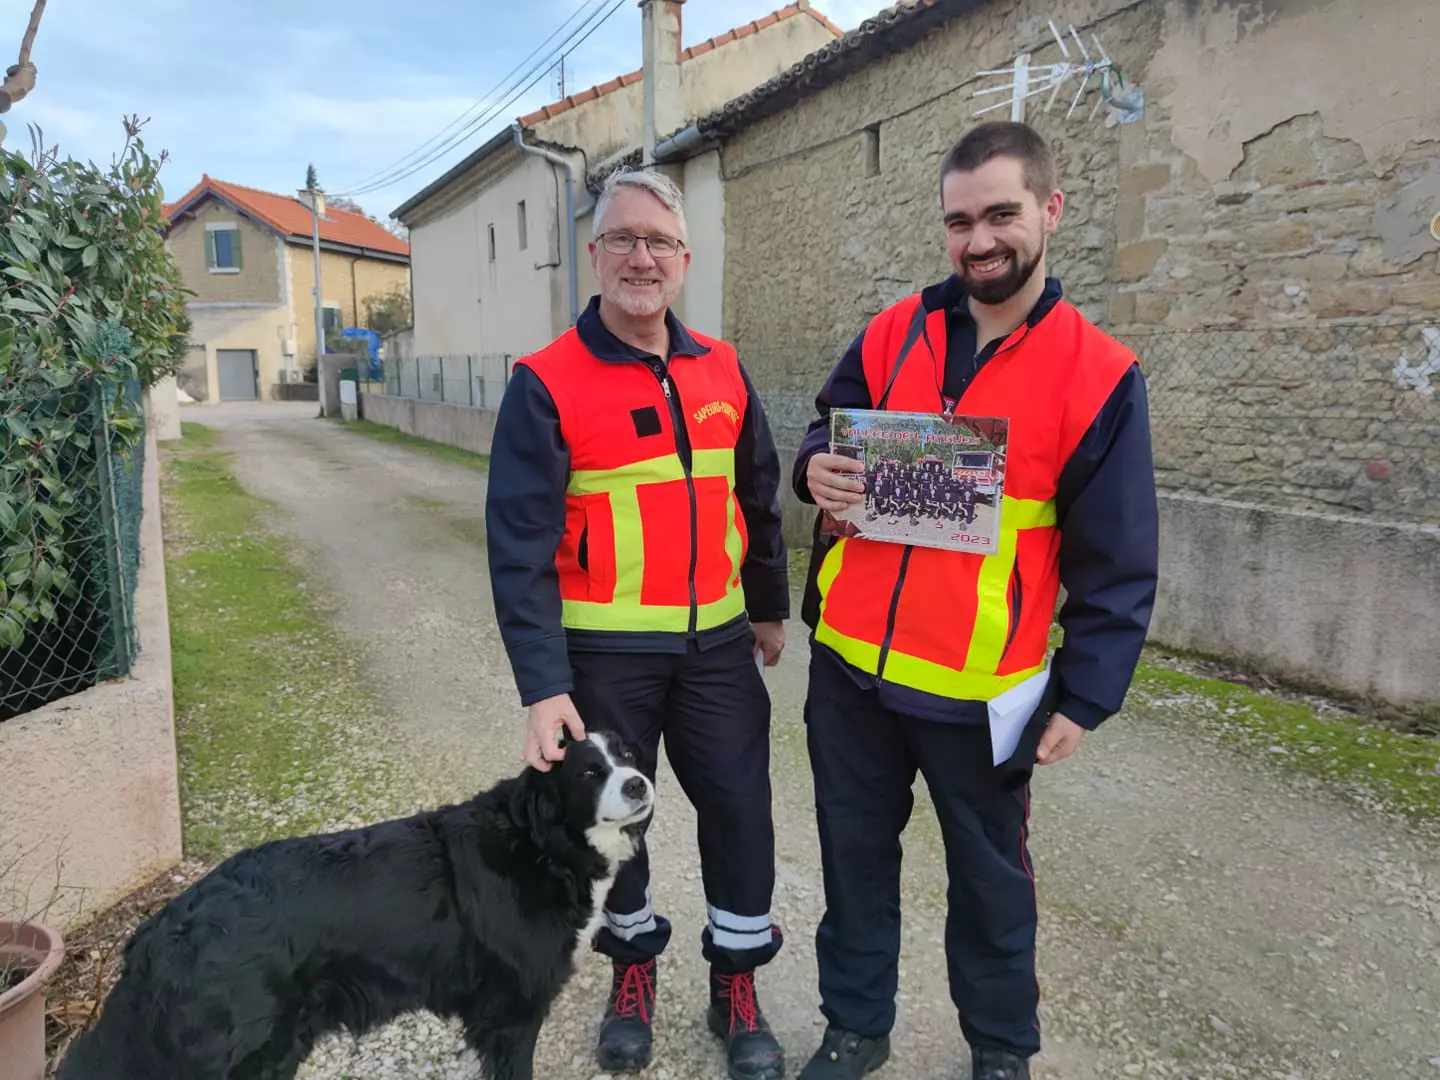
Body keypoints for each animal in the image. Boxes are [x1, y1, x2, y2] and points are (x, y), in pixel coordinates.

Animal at [59, 731, 656, 1080]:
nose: (638, 784)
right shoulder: (512, 1014)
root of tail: (157, 935)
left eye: (628, 755)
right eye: (588, 771)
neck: (541, 845)